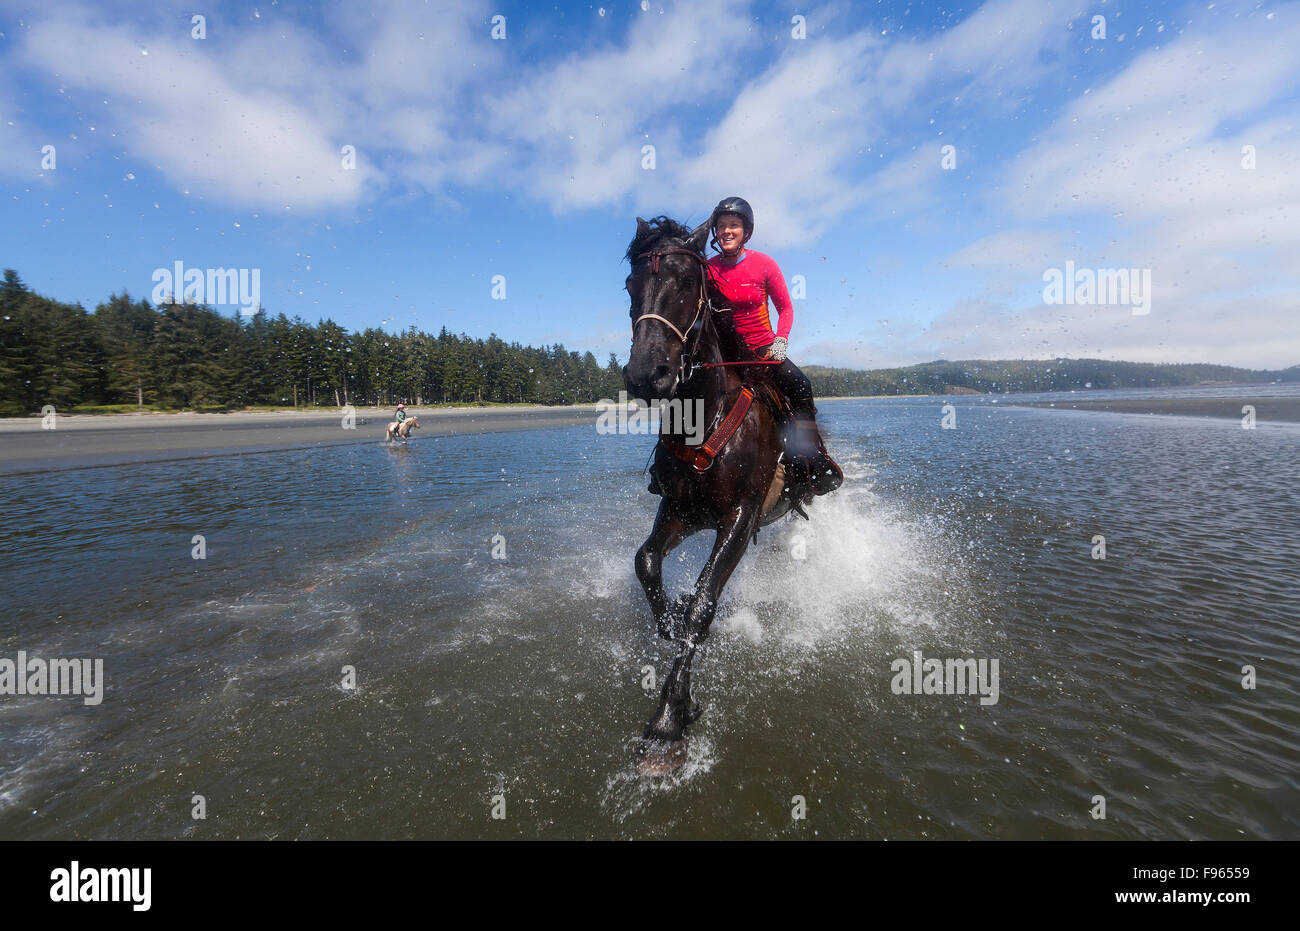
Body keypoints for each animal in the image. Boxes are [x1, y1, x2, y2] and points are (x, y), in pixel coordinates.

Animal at [621, 214, 826, 774]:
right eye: (629, 286)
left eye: (689, 284)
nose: (646, 374)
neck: (704, 417)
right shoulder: (681, 510)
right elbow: (647, 561)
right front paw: (670, 624)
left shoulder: (739, 515)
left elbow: (703, 603)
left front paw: (670, 716)